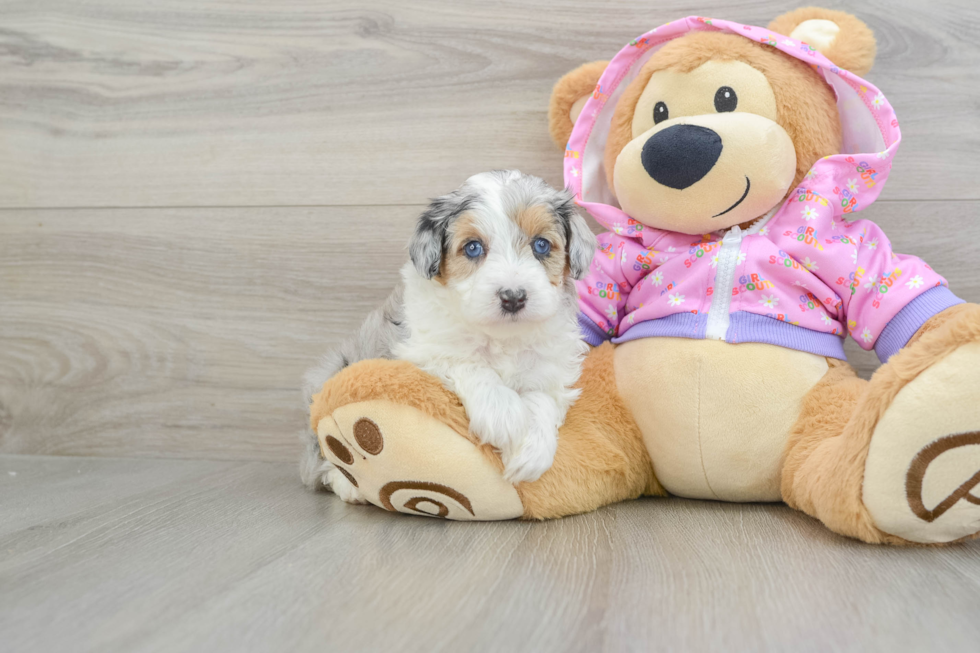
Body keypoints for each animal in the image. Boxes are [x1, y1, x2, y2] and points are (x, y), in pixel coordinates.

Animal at [300, 171, 596, 502]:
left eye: (542, 245)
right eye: (473, 248)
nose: (513, 297)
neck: (501, 336)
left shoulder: (551, 368)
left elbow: (543, 398)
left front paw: (531, 451)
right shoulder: (420, 350)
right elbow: (467, 363)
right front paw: (504, 415)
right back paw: (347, 485)